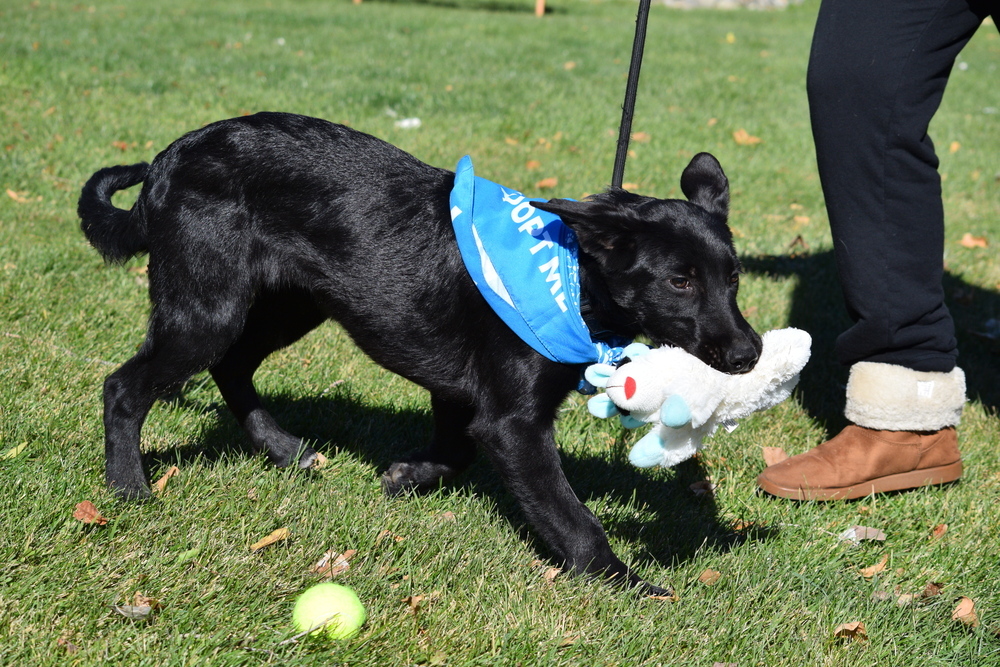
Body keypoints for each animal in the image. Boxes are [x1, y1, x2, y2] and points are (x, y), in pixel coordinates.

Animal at [78, 112, 760, 592]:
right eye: (680, 280)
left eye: (732, 278)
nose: (749, 353)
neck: (572, 273)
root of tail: (168, 159)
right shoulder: (512, 422)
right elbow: (572, 516)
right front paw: (628, 583)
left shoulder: (461, 394)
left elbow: (456, 449)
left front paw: (408, 476)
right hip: (208, 310)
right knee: (126, 386)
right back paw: (129, 488)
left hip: (290, 305)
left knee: (233, 367)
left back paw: (284, 448)